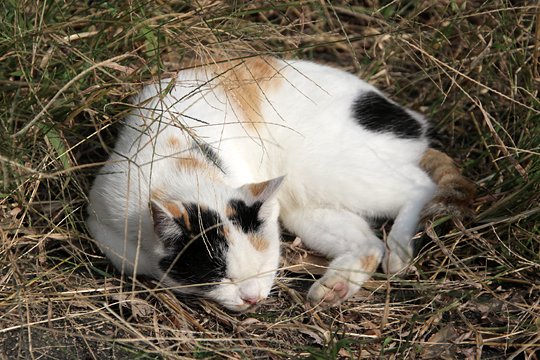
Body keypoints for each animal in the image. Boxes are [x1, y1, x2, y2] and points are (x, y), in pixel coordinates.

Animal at [86, 54, 474, 310]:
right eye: (222, 277)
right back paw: (335, 287)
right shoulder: (104, 227)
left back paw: (399, 250)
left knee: (418, 185)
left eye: (264, 264)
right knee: (368, 244)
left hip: (328, 169)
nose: (252, 298)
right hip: (303, 206)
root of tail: (412, 121)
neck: (184, 162)